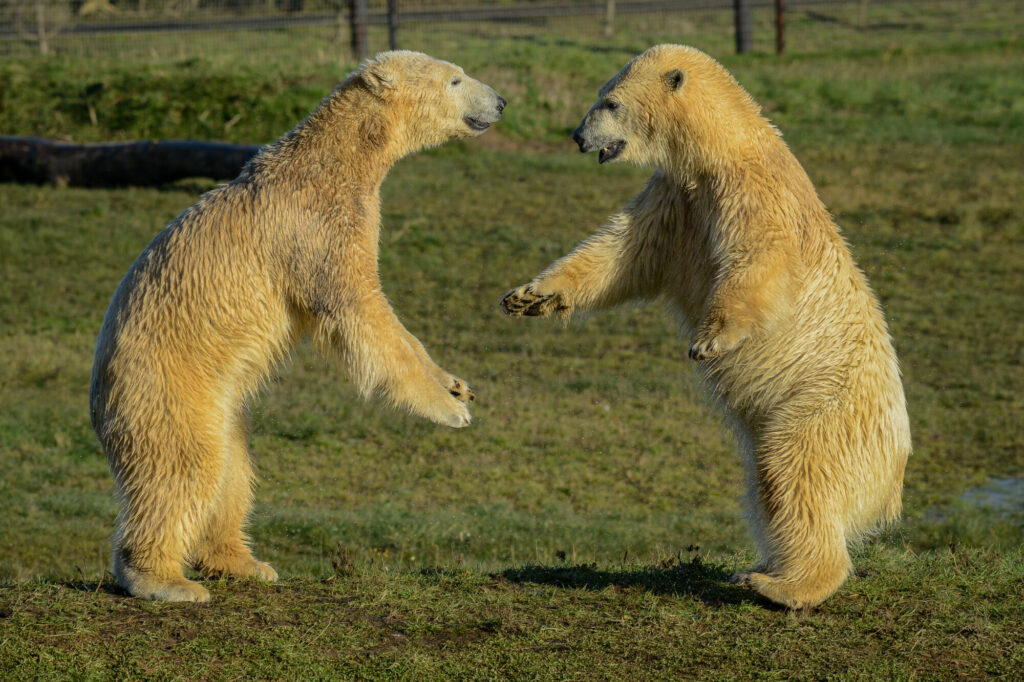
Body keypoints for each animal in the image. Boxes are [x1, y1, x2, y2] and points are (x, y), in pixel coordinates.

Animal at [90, 51, 506, 602]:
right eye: (455, 79)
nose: (500, 102)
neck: (335, 159)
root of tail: (99, 402)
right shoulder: (316, 228)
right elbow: (361, 312)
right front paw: (449, 410)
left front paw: (455, 383)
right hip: (165, 387)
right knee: (183, 467)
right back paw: (165, 580)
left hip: (219, 406)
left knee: (232, 470)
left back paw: (244, 563)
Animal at [501, 44, 911, 609]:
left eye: (610, 102)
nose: (578, 137)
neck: (725, 147)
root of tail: (893, 480)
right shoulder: (678, 200)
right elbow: (620, 254)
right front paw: (530, 296)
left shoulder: (750, 194)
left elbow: (757, 259)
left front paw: (709, 338)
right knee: (768, 482)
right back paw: (763, 567)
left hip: (825, 407)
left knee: (796, 467)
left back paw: (783, 585)